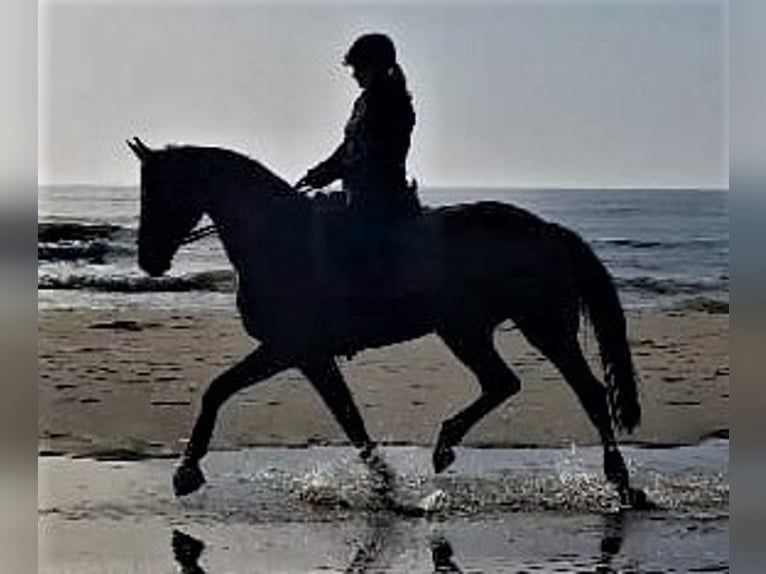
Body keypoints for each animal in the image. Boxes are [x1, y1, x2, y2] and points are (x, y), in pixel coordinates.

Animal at [129, 138, 652, 508]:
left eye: (157, 192)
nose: (149, 260)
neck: (278, 236)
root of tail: (547, 230)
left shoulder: (287, 348)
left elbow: (217, 389)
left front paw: (185, 473)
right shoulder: (309, 356)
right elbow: (348, 417)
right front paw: (385, 483)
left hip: (540, 327)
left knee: (588, 393)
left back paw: (621, 484)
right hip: (466, 329)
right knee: (503, 383)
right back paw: (445, 447)